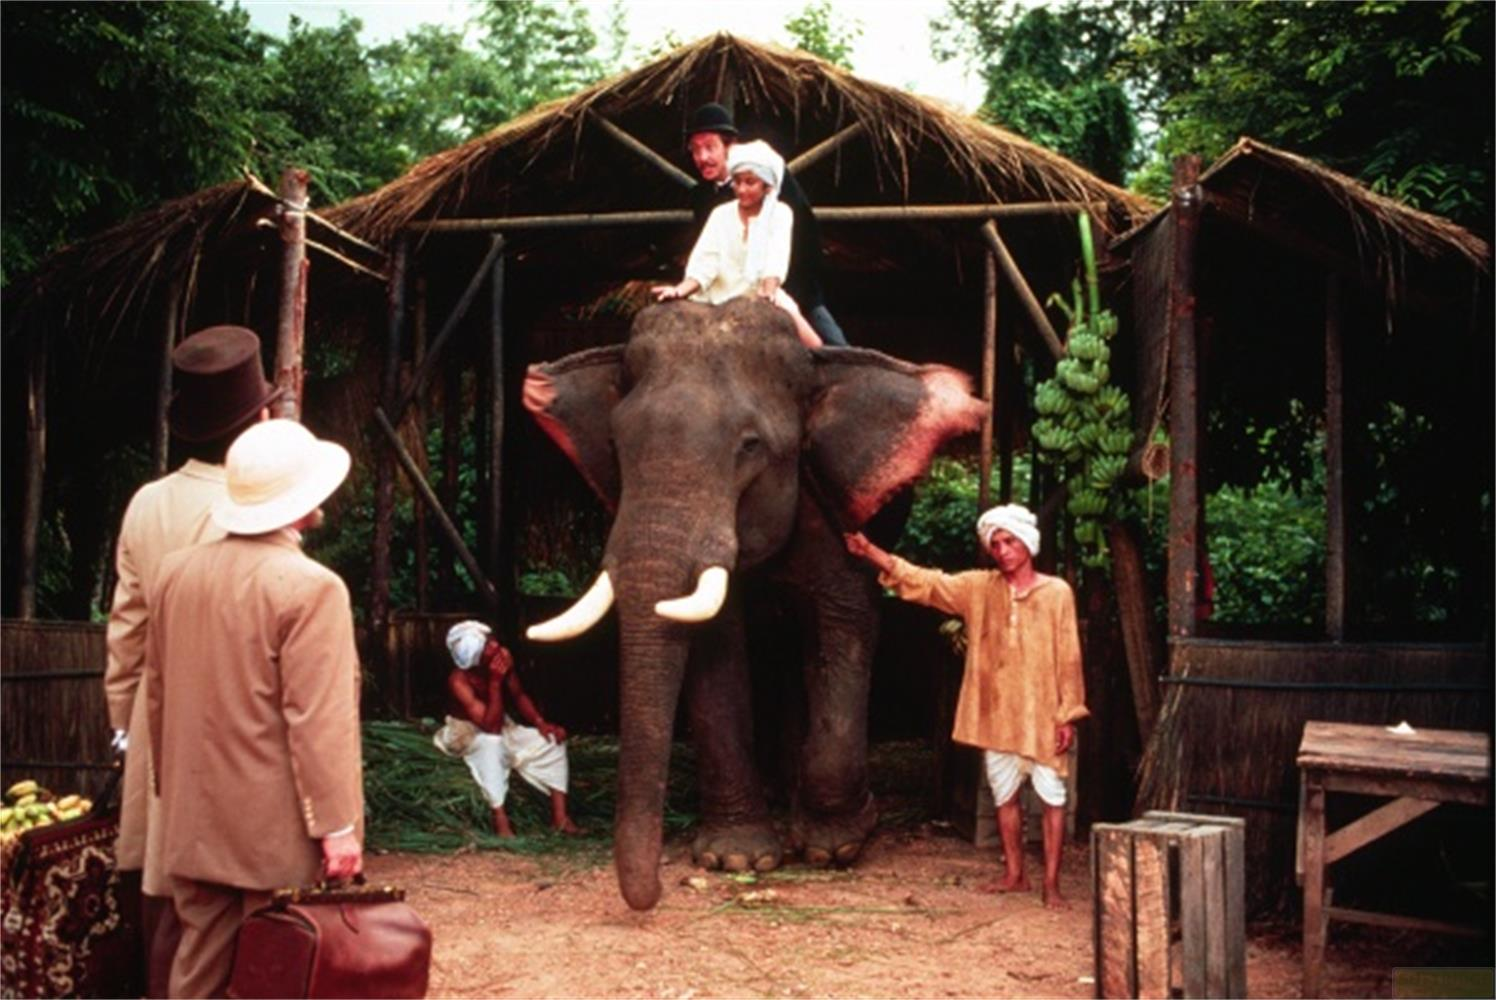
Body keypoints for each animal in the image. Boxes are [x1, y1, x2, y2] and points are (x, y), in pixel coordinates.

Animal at [521, 297, 985, 910]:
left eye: (750, 447)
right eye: (617, 448)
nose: (648, 898)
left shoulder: (825, 500)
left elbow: (845, 618)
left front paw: (840, 842)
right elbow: (718, 648)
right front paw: (737, 859)